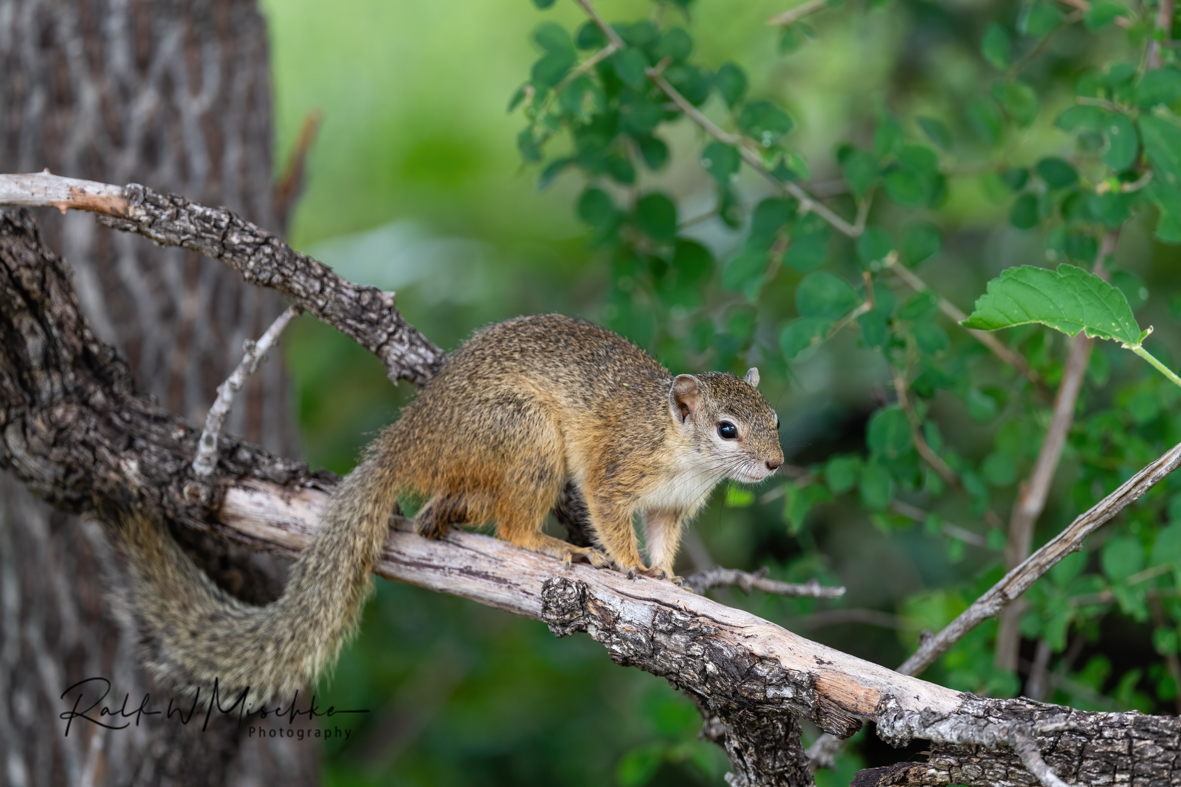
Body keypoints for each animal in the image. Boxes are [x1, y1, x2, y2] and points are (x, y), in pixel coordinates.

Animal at [117, 311, 784, 699]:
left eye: (774, 417)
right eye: (727, 429)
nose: (776, 463)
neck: (682, 453)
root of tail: (411, 441)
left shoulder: (670, 508)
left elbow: (664, 537)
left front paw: (669, 576)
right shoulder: (614, 471)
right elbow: (610, 517)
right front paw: (628, 566)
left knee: (446, 511)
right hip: (526, 436)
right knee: (512, 528)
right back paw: (557, 547)